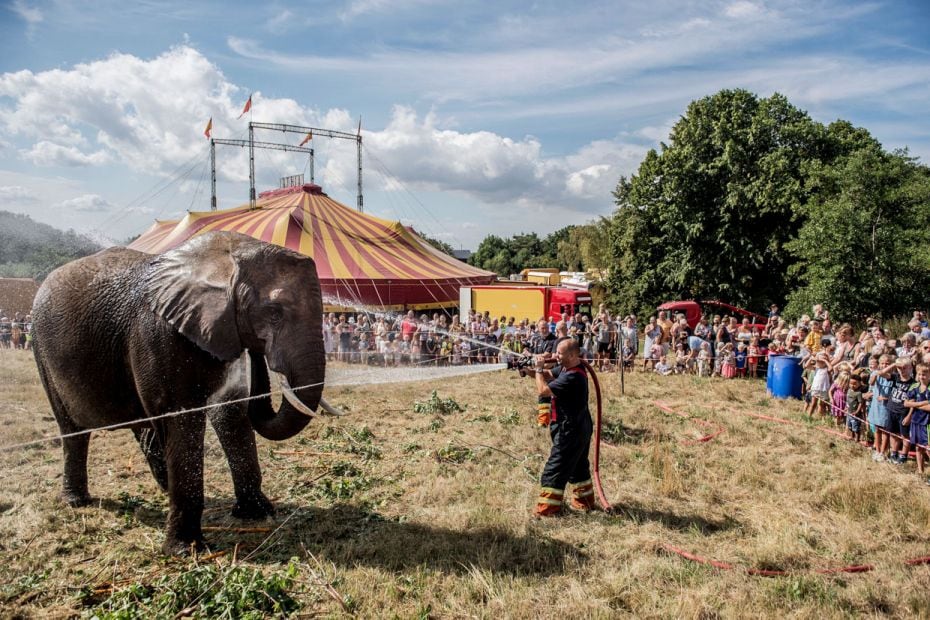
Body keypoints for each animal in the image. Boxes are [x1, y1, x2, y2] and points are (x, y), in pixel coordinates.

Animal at [33, 230, 344, 556]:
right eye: (274, 313)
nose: (259, 352)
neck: (222, 257)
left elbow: (229, 412)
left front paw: (258, 513)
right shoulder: (157, 336)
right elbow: (182, 420)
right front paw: (185, 550)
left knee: (143, 424)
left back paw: (163, 486)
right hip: (42, 351)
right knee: (73, 430)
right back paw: (77, 501)